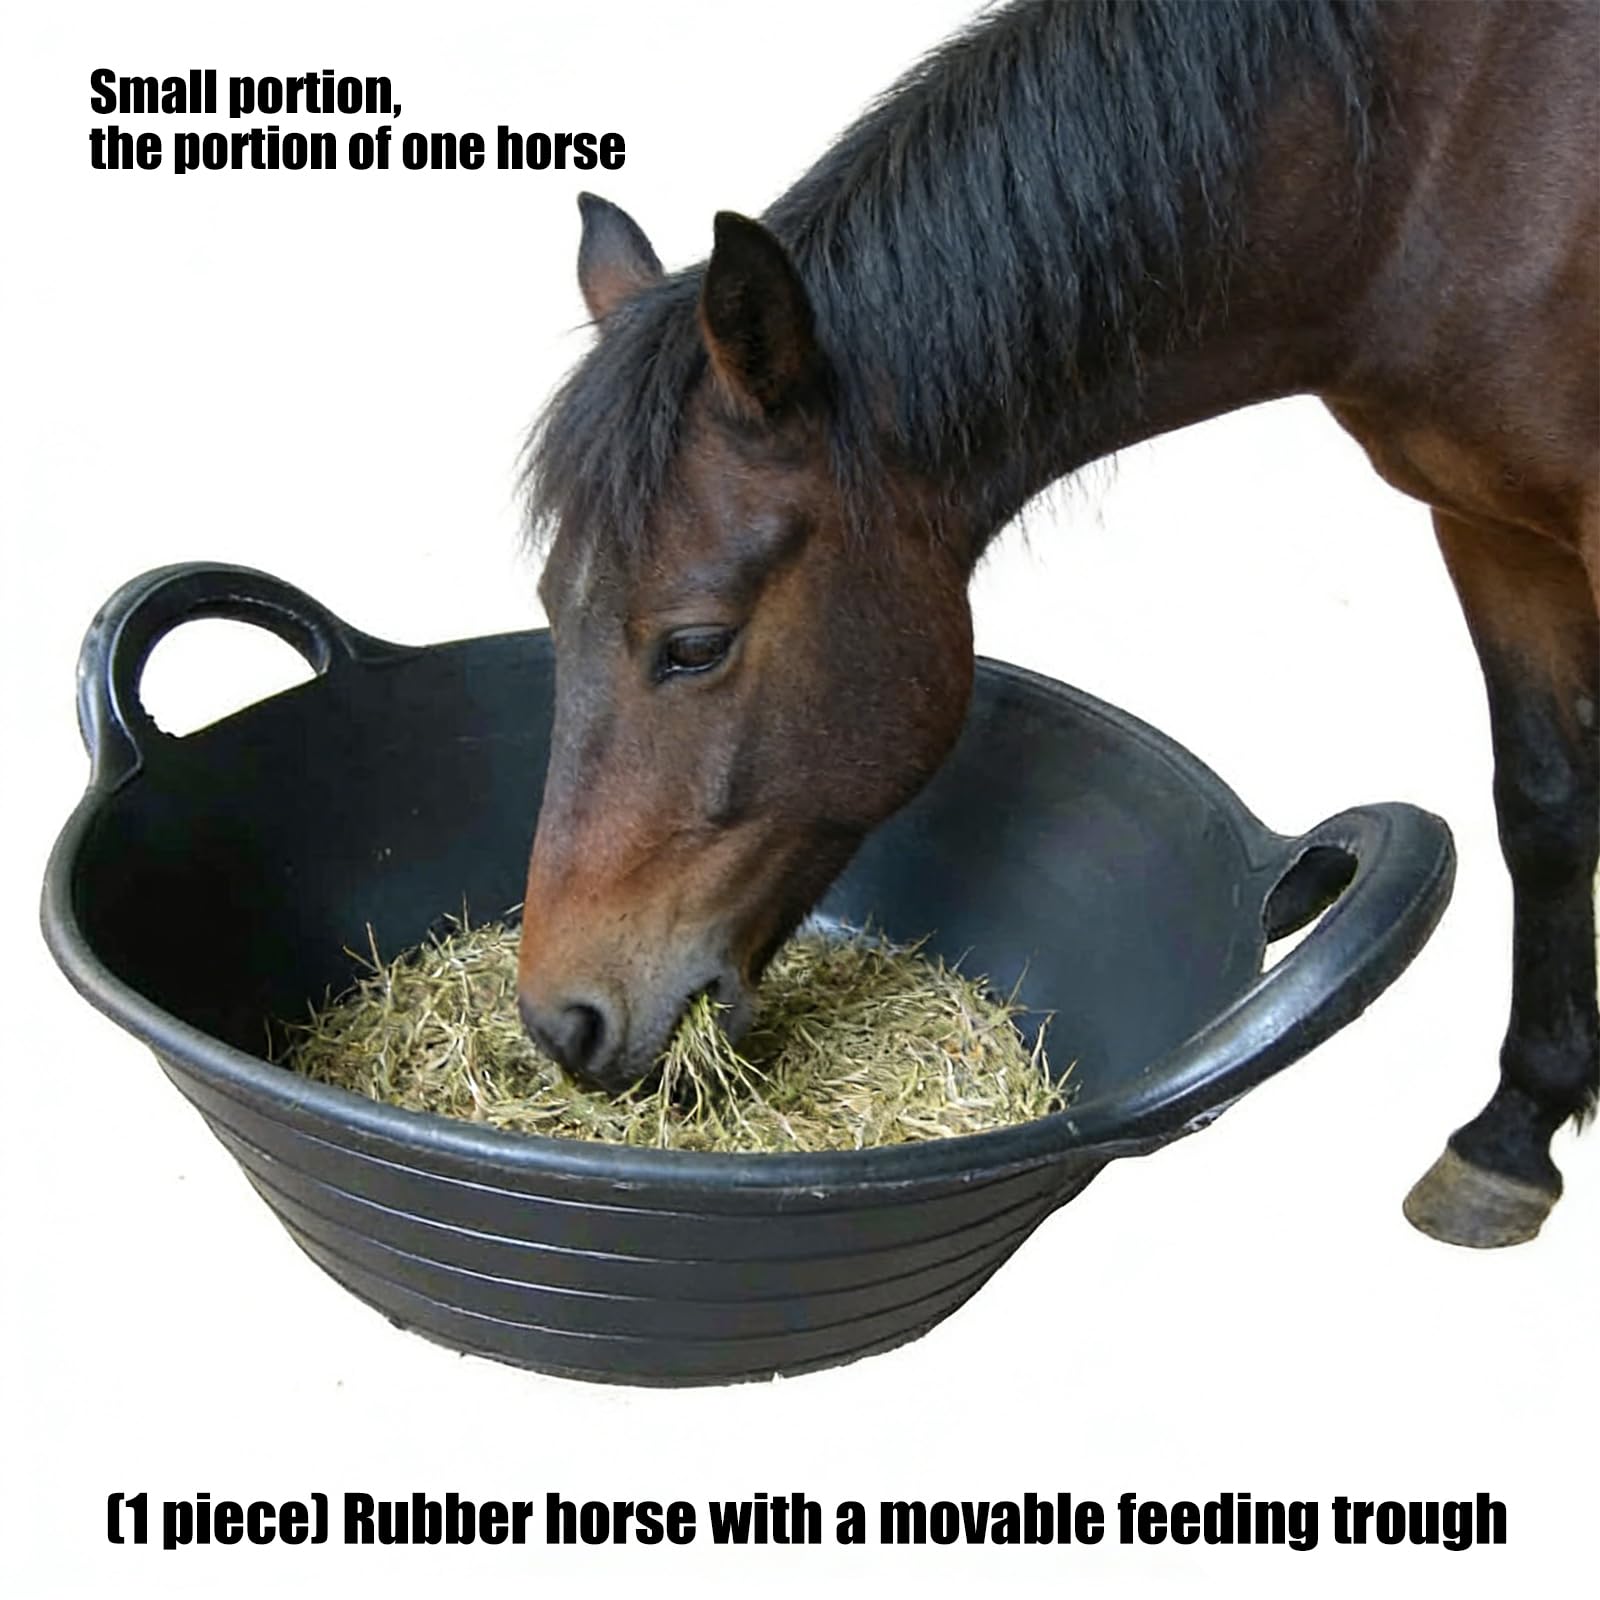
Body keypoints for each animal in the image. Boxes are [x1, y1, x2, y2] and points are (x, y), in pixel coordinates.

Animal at [515, 0, 1598, 1250]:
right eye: (552, 614)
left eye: (694, 645)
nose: (561, 1022)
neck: (1437, 161)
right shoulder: (1489, 524)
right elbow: (1547, 808)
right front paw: (1512, 1139)